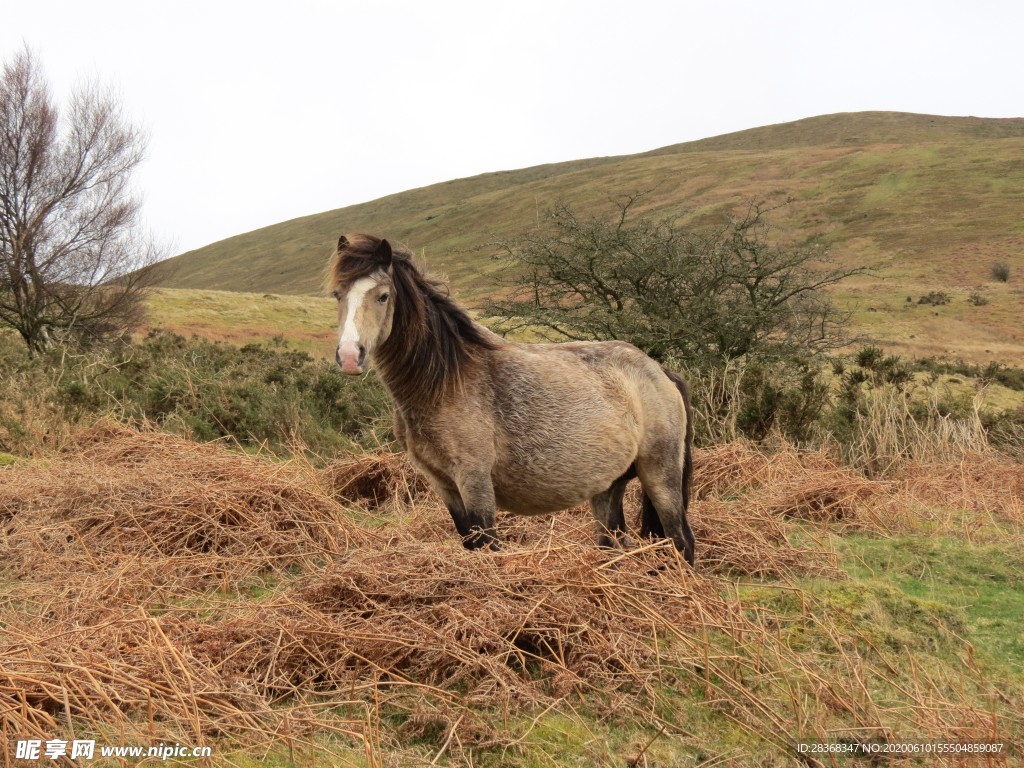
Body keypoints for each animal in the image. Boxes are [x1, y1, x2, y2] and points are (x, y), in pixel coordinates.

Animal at [326, 234, 696, 566]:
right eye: (337, 295)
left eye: (383, 296)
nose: (350, 357)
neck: (445, 381)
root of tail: (659, 370)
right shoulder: (444, 485)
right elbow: (471, 544)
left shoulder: (474, 480)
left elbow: (488, 547)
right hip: (608, 486)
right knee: (613, 545)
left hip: (660, 474)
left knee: (681, 540)